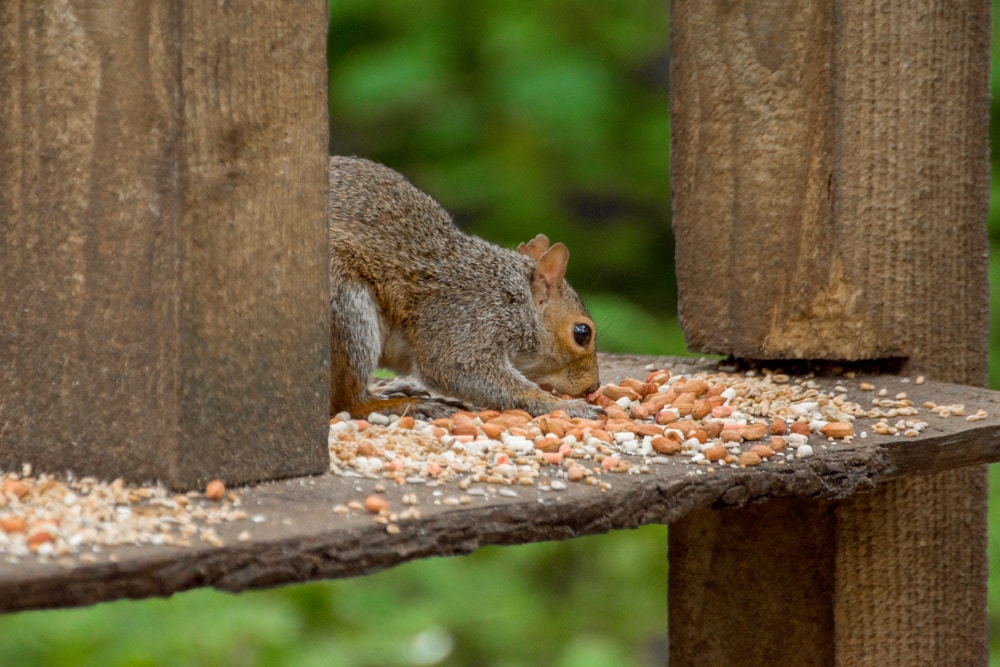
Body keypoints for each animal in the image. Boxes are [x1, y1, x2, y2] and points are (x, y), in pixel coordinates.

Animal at [328, 156, 602, 420]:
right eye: (582, 333)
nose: (593, 387)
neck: (513, 298)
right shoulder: (463, 318)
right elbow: (458, 368)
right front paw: (565, 406)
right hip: (346, 309)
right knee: (347, 404)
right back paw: (408, 405)